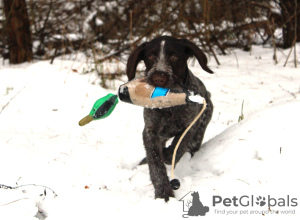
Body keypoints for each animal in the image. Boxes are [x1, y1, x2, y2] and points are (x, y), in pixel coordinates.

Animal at [125, 36, 214, 201]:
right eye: (151, 56)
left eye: (174, 57)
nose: (159, 78)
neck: (169, 104)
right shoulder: (150, 132)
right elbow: (155, 163)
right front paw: (163, 192)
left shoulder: (191, 126)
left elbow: (177, 148)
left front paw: (168, 155)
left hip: (199, 133)